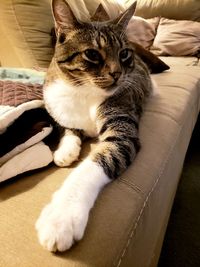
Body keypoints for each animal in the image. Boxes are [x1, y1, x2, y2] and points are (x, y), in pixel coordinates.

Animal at [35, 0, 155, 253]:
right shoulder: (58, 105)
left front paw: (60, 217)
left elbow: (94, 164)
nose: (117, 73)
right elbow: (67, 128)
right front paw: (66, 151)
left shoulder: (121, 130)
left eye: (124, 53)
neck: (85, 91)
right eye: (92, 54)